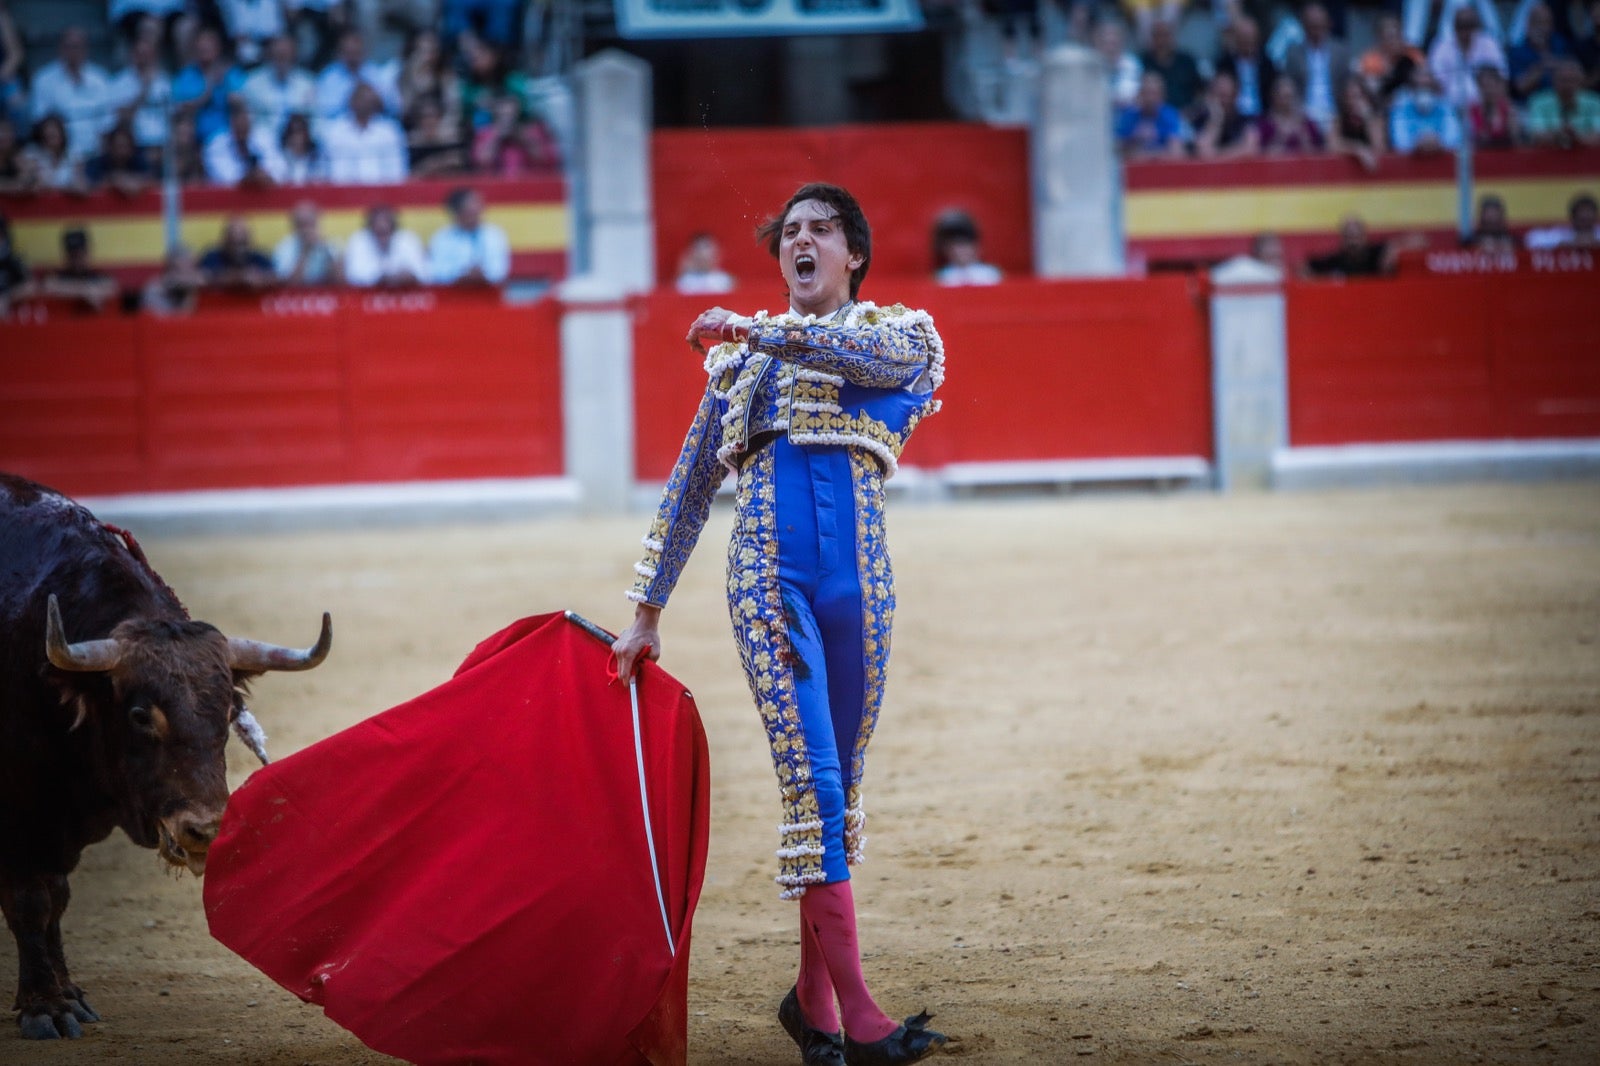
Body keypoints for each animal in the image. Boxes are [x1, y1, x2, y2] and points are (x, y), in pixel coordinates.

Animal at [0, 473, 331, 1037]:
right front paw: (46, 1008)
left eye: (228, 712)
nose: (205, 831)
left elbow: (57, 898)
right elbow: (32, 899)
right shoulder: (22, 810)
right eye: (139, 715)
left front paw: (69, 996)